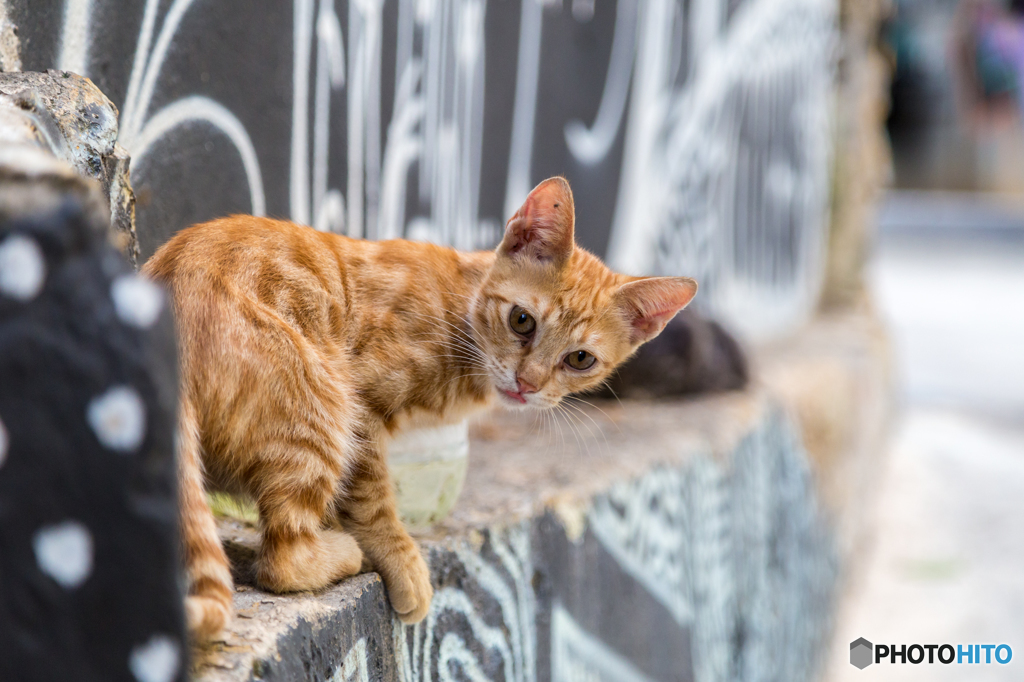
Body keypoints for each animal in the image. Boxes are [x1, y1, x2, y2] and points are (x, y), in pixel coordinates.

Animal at [142, 176, 696, 638]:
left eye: (580, 359)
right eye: (521, 321)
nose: (527, 383)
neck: (462, 313)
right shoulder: (363, 404)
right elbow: (373, 498)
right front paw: (402, 559)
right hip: (321, 402)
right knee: (283, 560)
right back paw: (339, 554)